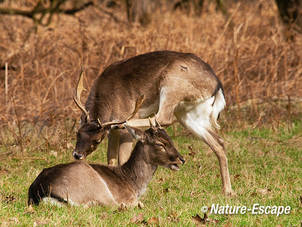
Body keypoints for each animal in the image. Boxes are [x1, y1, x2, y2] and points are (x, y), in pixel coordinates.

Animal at [28, 121, 184, 208]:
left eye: (170, 139)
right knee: (114, 206)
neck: (133, 183)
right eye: (160, 144)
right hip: (96, 186)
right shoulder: (125, 197)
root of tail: (39, 192)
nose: (181, 159)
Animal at [72, 50, 234, 196]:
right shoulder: (111, 133)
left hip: (171, 85)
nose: (77, 154)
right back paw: (228, 191)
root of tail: (217, 86)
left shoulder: (122, 124)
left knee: (163, 117)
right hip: (190, 113)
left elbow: (122, 157)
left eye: (97, 140)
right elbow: (110, 158)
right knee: (218, 142)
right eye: (78, 133)